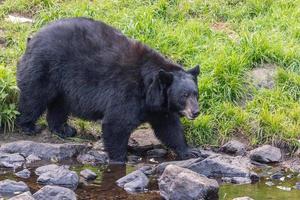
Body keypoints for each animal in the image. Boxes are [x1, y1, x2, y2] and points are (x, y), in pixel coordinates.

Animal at [16, 17, 200, 162]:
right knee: (34, 96)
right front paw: (120, 158)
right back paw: (29, 126)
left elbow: (170, 128)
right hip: (46, 67)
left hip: (62, 85)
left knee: (59, 105)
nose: (196, 112)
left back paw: (64, 129)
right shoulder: (128, 92)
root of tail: (33, 38)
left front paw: (189, 152)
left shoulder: (161, 108)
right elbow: (117, 123)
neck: (149, 88)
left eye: (195, 94)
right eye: (184, 95)